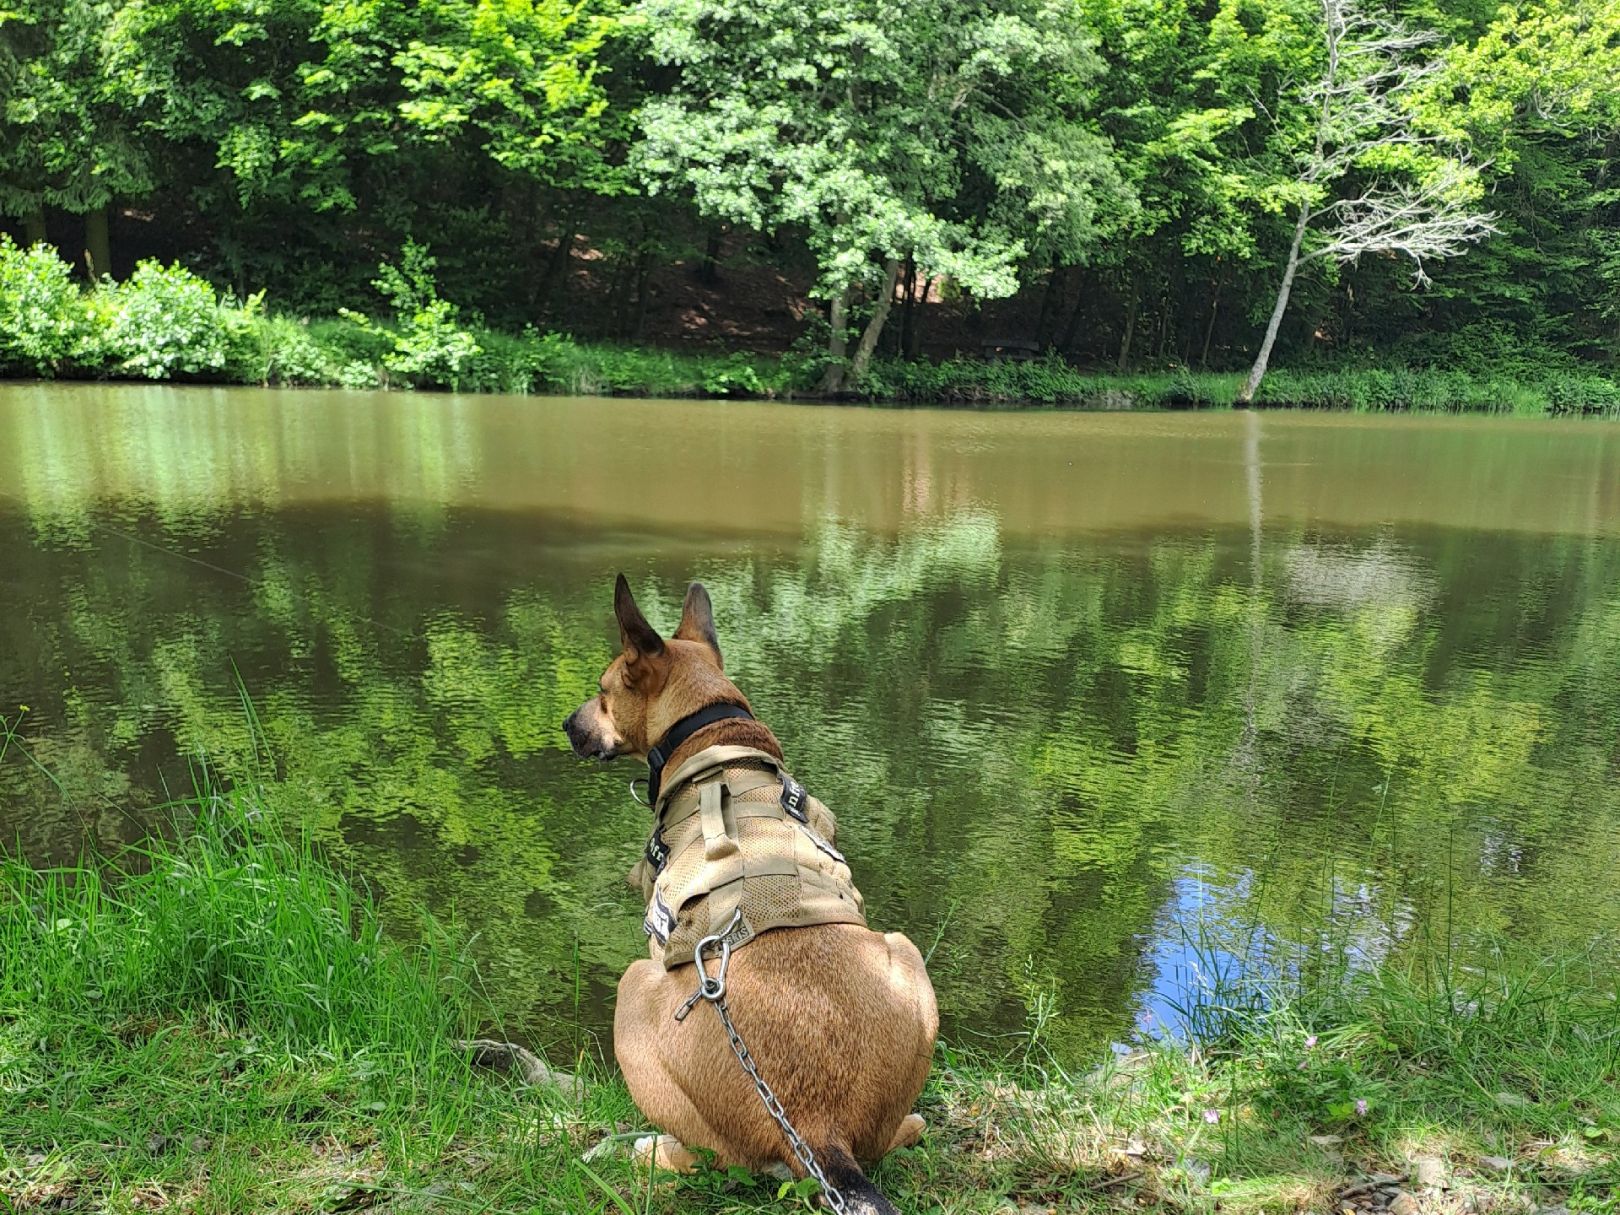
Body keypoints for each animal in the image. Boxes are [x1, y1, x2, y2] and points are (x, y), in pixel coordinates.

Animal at [563, 576, 939, 1211]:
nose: (568, 724)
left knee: (710, 1160)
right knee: (888, 1137)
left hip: (632, 990)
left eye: (603, 691)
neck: (708, 733)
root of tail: (817, 1126)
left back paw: (649, 1151)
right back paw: (911, 1125)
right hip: (906, 951)